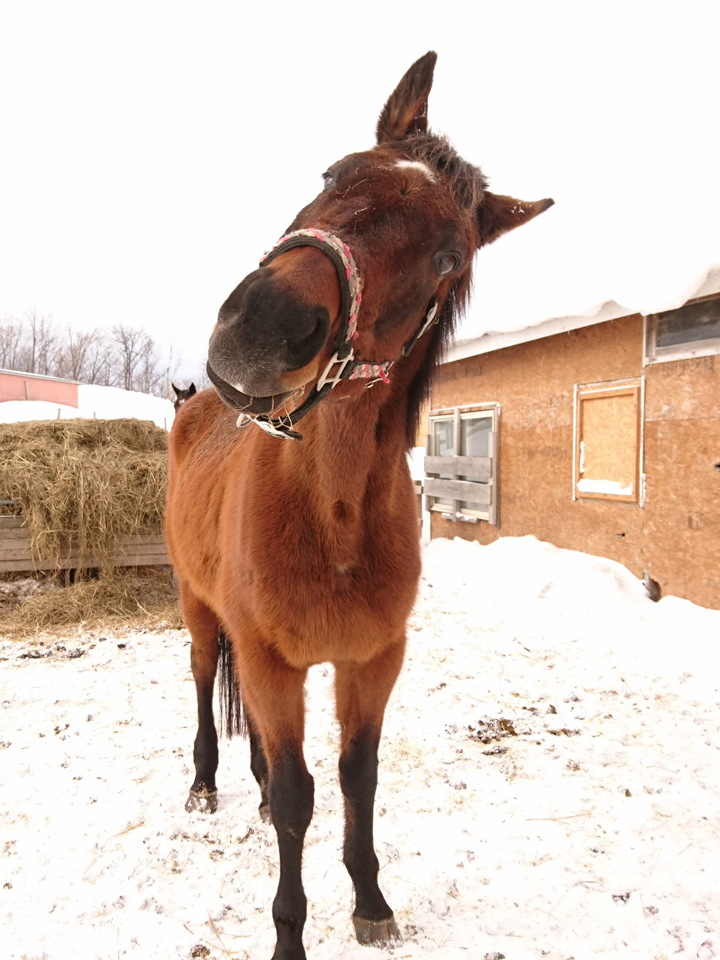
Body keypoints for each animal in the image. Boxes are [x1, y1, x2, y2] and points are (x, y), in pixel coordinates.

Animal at [167, 50, 552, 960]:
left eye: (448, 256)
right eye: (333, 174)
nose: (264, 329)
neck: (331, 519)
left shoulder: (371, 661)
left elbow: (353, 777)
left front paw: (371, 900)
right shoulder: (272, 660)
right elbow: (302, 795)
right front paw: (290, 934)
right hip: (198, 610)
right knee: (202, 681)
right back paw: (205, 783)